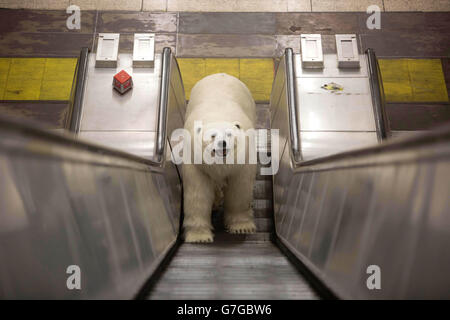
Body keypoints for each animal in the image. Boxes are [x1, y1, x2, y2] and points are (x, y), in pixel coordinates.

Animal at [182, 73, 256, 242]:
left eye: (229, 134)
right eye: (212, 135)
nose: (222, 144)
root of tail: (220, 74)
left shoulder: (242, 164)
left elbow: (239, 191)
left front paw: (242, 227)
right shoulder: (196, 164)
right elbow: (198, 195)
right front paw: (199, 236)